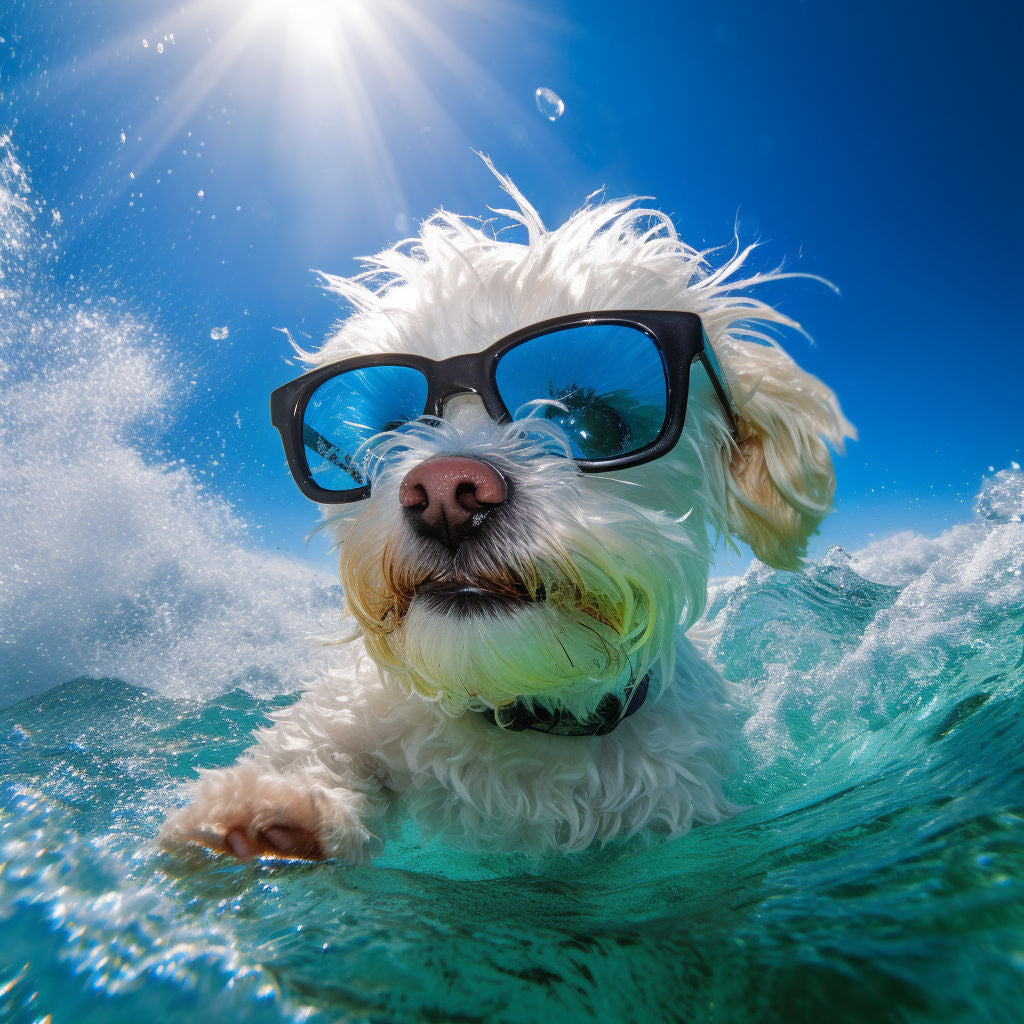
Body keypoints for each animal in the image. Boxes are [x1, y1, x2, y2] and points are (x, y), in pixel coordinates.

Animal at [157, 169, 847, 864]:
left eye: (594, 423)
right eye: (394, 432)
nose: (443, 493)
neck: (521, 713)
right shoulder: (365, 708)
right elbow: (322, 739)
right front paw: (277, 803)